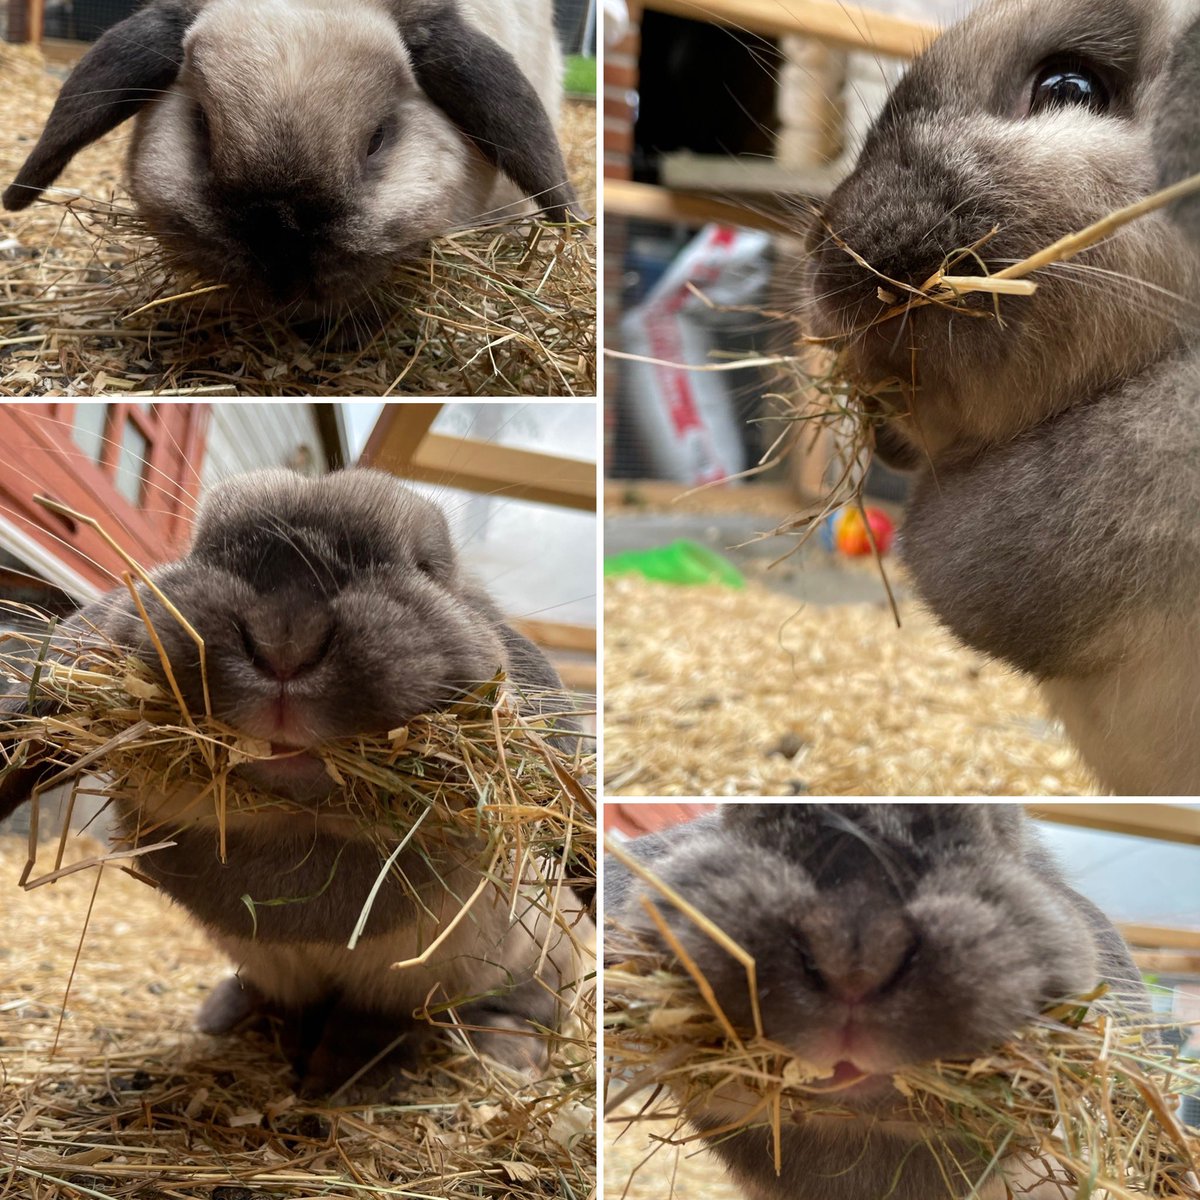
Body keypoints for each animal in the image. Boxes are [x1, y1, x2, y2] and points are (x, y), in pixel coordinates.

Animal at [0, 467, 591, 1098]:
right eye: (203, 547)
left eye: (429, 565)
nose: (286, 636)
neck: (296, 828)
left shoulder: (402, 981)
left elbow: (376, 1020)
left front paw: (344, 1074)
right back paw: (229, 1015)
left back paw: (492, 1055)